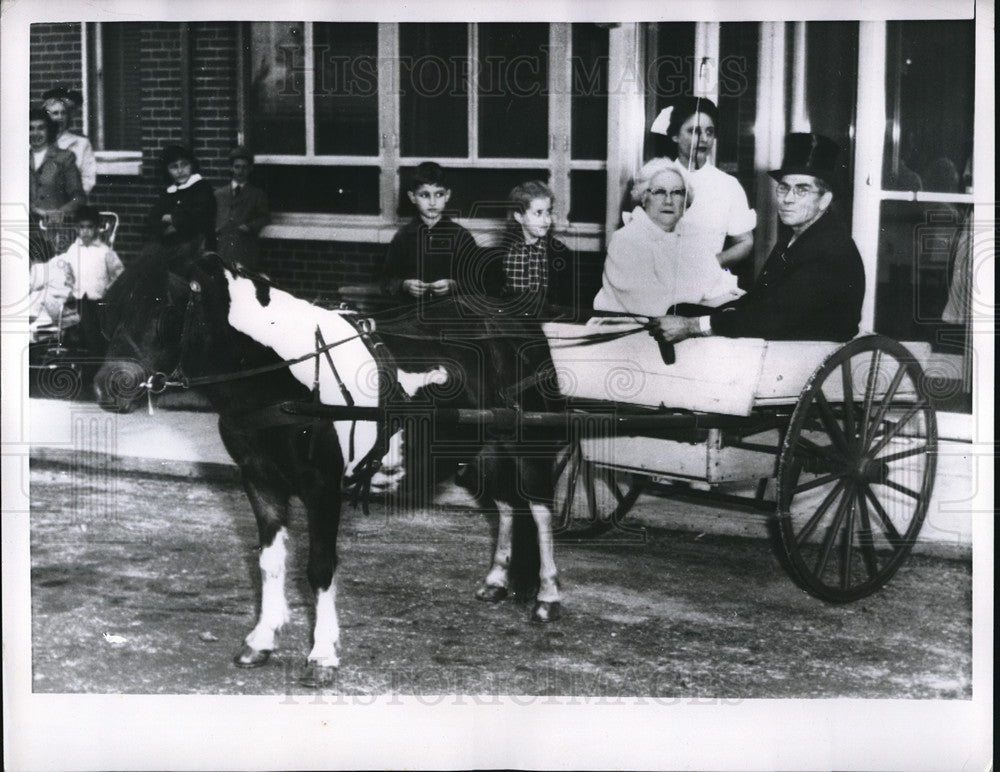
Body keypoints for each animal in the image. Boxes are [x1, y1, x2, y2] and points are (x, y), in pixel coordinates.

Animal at [96, 244, 568, 684]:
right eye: (114, 306)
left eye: (165, 307)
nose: (109, 386)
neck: (289, 377)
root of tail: (511, 318)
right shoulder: (259, 480)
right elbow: (270, 562)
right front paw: (262, 640)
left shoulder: (321, 487)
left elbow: (319, 568)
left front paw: (322, 655)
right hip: (479, 451)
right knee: (505, 506)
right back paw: (496, 581)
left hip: (526, 443)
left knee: (539, 510)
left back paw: (547, 598)